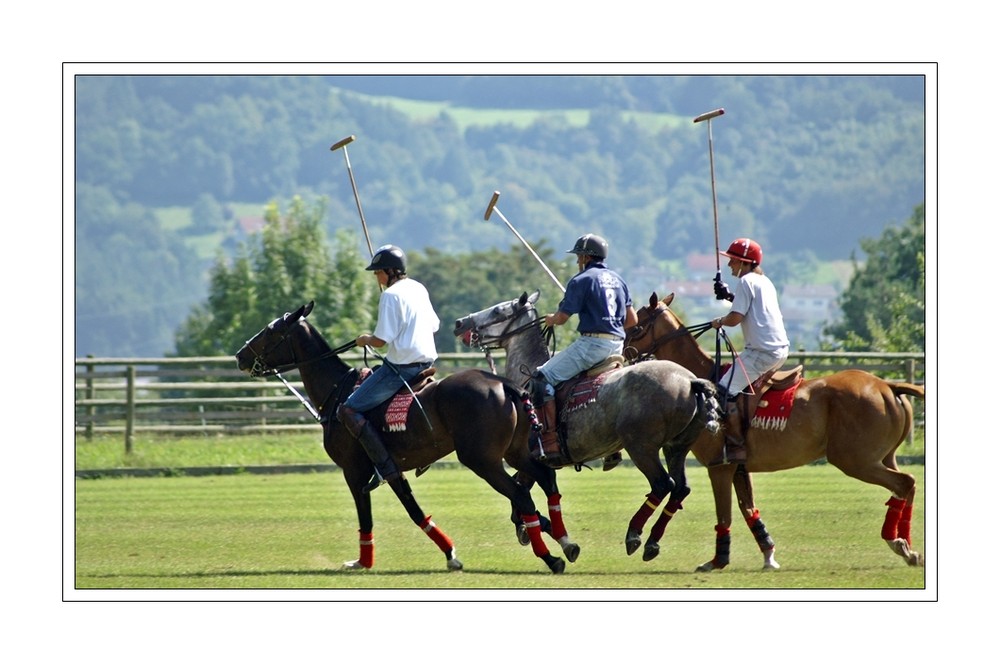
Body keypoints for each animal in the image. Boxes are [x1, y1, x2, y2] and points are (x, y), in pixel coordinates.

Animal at [234, 300, 580, 572]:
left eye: (270, 332)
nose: (239, 356)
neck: (337, 391)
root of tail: (505, 385)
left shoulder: (355, 469)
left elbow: (375, 514)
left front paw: (364, 561)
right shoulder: (389, 467)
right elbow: (411, 506)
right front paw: (450, 553)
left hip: (482, 460)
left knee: (521, 494)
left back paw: (550, 558)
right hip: (515, 452)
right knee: (546, 480)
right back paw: (566, 543)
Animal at [456, 292, 728, 564]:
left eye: (497, 311)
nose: (459, 323)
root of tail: (690, 381)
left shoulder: (530, 457)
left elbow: (519, 499)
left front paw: (537, 530)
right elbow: (522, 497)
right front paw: (545, 530)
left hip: (641, 446)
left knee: (663, 484)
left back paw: (634, 534)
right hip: (677, 446)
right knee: (681, 488)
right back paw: (652, 541)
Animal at [628, 294, 924, 568]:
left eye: (637, 326)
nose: (624, 351)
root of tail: (888, 386)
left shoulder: (719, 465)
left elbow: (725, 512)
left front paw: (717, 560)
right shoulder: (738, 466)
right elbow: (748, 509)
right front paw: (768, 555)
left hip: (855, 459)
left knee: (904, 482)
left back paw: (897, 542)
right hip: (882, 456)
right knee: (907, 484)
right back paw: (909, 549)